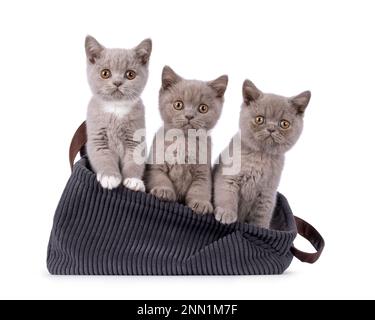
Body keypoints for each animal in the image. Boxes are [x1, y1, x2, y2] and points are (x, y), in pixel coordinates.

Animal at [146, 66, 229, 214]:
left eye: (203, 108)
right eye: (178, 105)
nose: (189, 116)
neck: (184, 141)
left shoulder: (203, 173)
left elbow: (200, 189)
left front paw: (201, 203)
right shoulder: (155, 165)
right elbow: (160, 178)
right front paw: (164, 190)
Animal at [214, 79, 312, 228]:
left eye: (284, 124)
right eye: (259, 119)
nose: (271, 129)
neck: (261, 157)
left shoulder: (267, 194)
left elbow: (262, 216)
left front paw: (262, 229)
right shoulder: (228, 177)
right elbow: (226, 196)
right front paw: (226, 213)